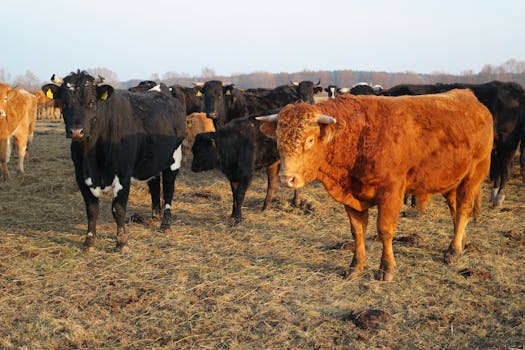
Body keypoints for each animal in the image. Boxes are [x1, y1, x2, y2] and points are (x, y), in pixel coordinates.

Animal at [43, 71, 186, 252]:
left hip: (174, 156)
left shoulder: (123, 175)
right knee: (154, 184)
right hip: (153, 159)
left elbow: (118, 209)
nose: (76, 131)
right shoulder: (81, 176)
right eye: (65, 102)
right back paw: (154, 217)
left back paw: (165, 223)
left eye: (91, 102)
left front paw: (121, 242)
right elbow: (92, 209)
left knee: (168, 188)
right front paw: (89, 241)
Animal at [260, 90, 494, 282]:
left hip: (473, 175)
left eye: (309, 140)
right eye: (278, 139)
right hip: (452, 180)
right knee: (455, 209)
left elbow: (385, 230)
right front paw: (355, 267)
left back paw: (453, 251)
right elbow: (357, 231)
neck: (361, 136)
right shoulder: (352, 196)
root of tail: (470, 98)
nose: (286, 178)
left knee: (463, 210)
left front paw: (387, 269)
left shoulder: (391, 192)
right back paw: (459, 245)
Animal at [380, 81, 524, 208]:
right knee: (499, 169)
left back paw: (499, 198)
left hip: (507, 143)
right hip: (496, 147)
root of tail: (511, 87)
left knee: (506, 169)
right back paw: (493, 196)